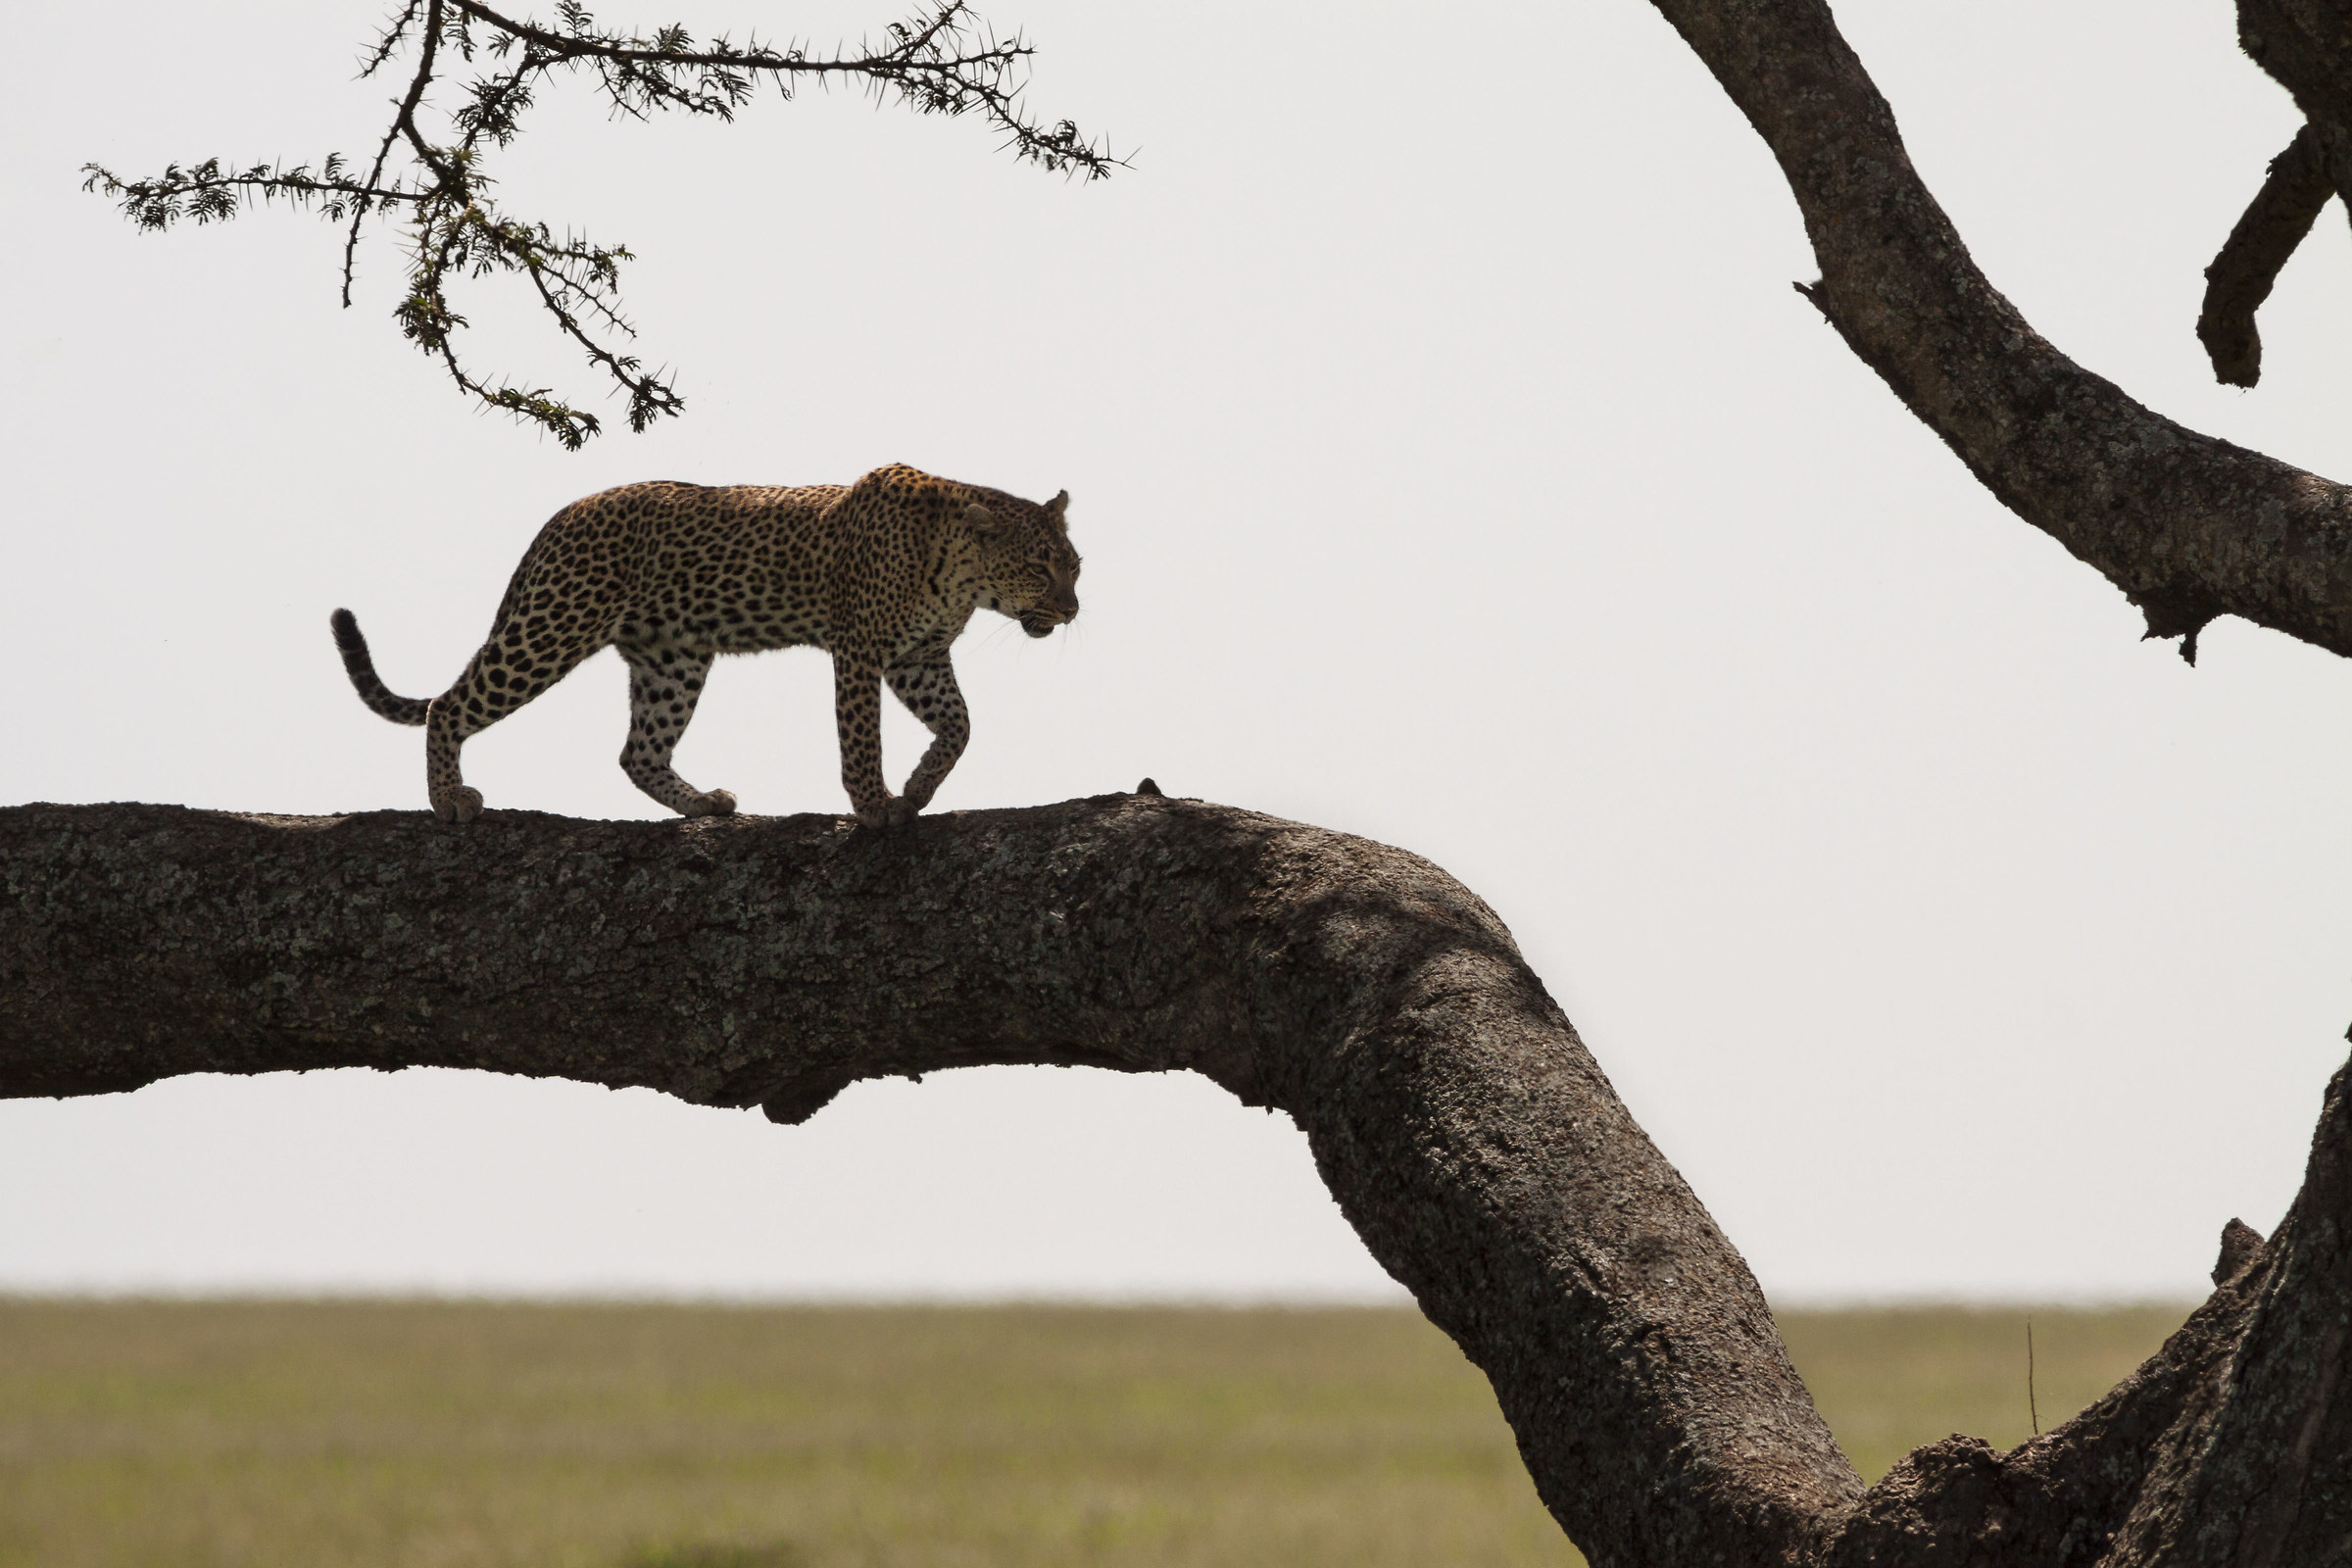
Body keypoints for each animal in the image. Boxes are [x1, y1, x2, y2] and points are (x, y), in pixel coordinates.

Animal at [329, 463, 1080, 828]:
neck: (961, 577)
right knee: (449, 705)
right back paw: (448, 801)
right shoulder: (862, 651)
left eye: (1075, 565)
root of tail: (560, 518)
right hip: (553, 624)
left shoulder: (918, 659)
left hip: (672, 660)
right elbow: (861, 739)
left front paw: (921, 785)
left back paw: (703, 807)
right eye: (1039, 567)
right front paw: (874, 808)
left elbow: (960, 726)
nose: (1073, 610)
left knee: (638, 751)